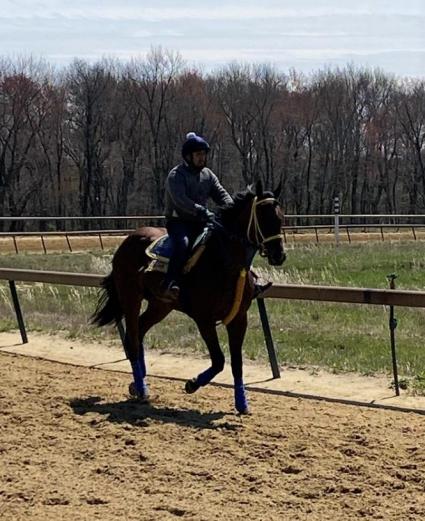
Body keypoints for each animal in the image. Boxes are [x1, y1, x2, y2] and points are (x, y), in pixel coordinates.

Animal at [92, 180, 284, 414]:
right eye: (264, 217)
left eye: (281, 218)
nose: (279, 255)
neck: (223, 263)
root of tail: (127, 241)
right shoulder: (204, 319)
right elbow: (219, 360)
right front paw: (192, 384)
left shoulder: (239, 319)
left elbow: (237, 363)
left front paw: (242, 403)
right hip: (131, 298)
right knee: (133, 339)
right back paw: (141, 388)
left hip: (160, 305)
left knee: (140, 331)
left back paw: (139, 384)